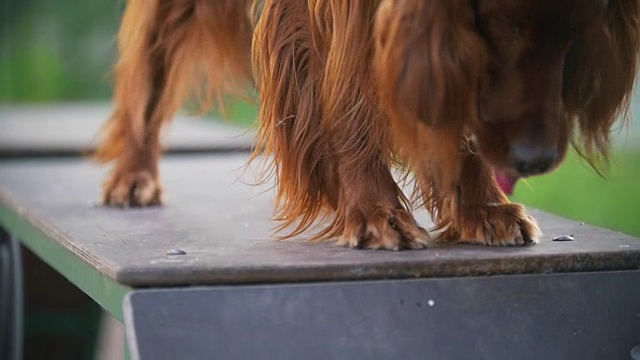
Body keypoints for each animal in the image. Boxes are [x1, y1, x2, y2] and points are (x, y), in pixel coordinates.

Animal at [96, 0, 640, 250]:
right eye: (505, 23)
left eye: (581, 28)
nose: (536, 159)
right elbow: (348, 100)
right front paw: (376, 212)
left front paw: (483, 208)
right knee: (148, 78)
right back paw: (134, 176)